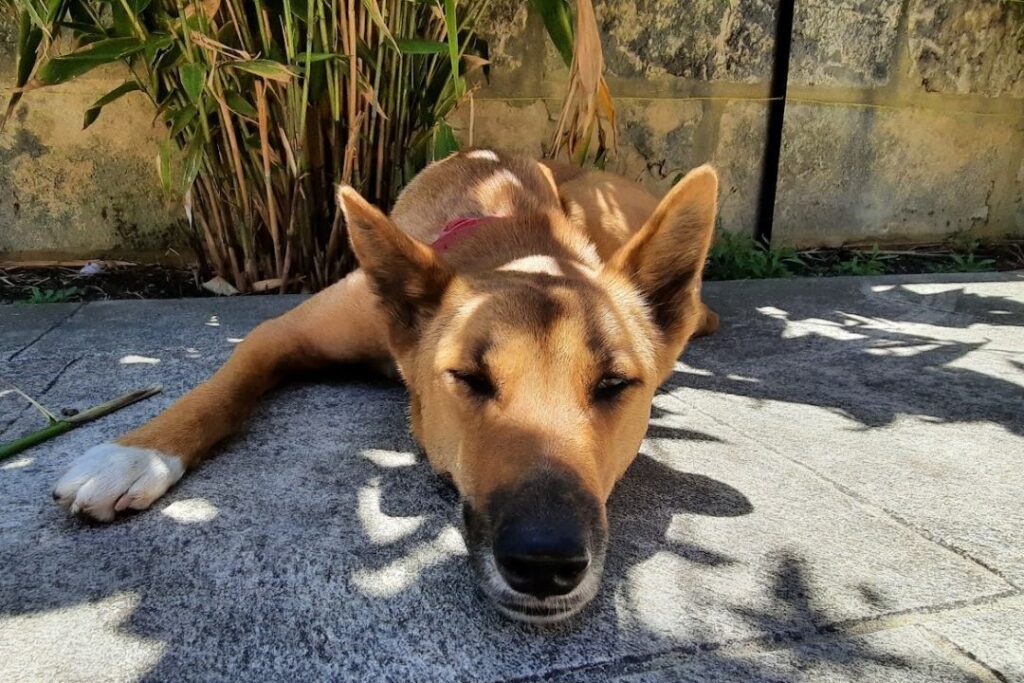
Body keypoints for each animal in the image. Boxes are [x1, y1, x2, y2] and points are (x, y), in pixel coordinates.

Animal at [49, 150, 720, 626]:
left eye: (614, 384)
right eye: (468, 377)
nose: (545, 563)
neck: (516, 245)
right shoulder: (279, 332)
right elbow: (219, 389)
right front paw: (137, 453)